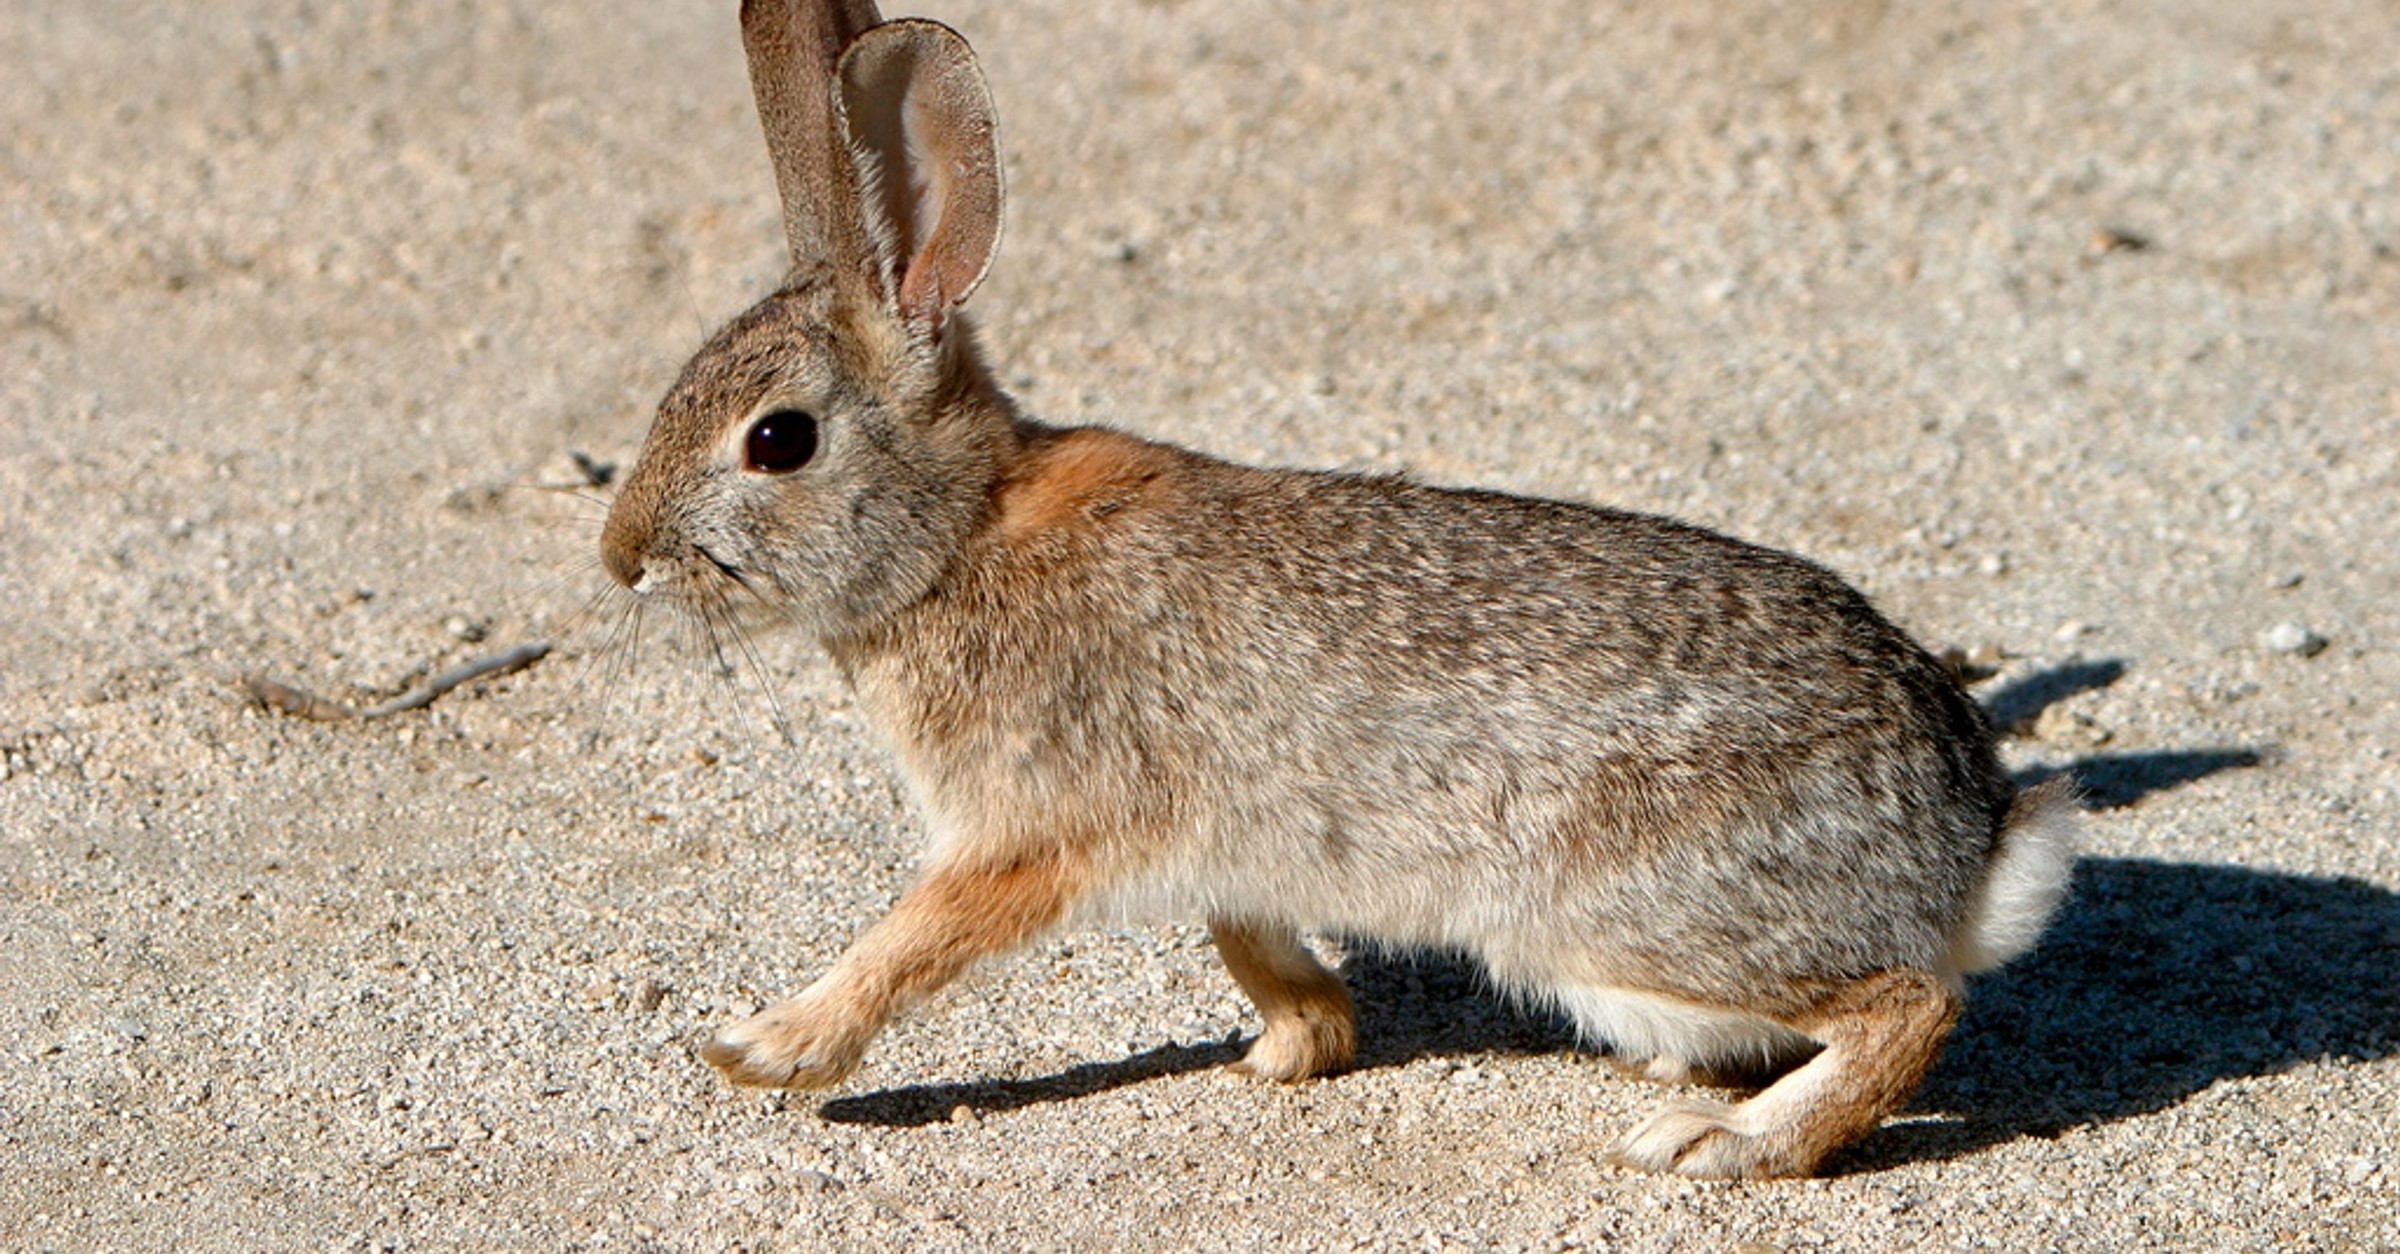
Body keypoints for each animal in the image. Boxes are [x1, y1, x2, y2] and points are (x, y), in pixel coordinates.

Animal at [597, 0, 2077, 1180]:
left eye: (778, 440)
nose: (620, 556)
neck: (958, 537)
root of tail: (1973, 844)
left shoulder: (1026, 834)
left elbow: (909, 942)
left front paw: (763, 1047)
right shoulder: (1214, 836)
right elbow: (1244, 929)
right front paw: (1303, 1037)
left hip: (1624, 919)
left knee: (1907, 1005)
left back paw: (1729, 1140)